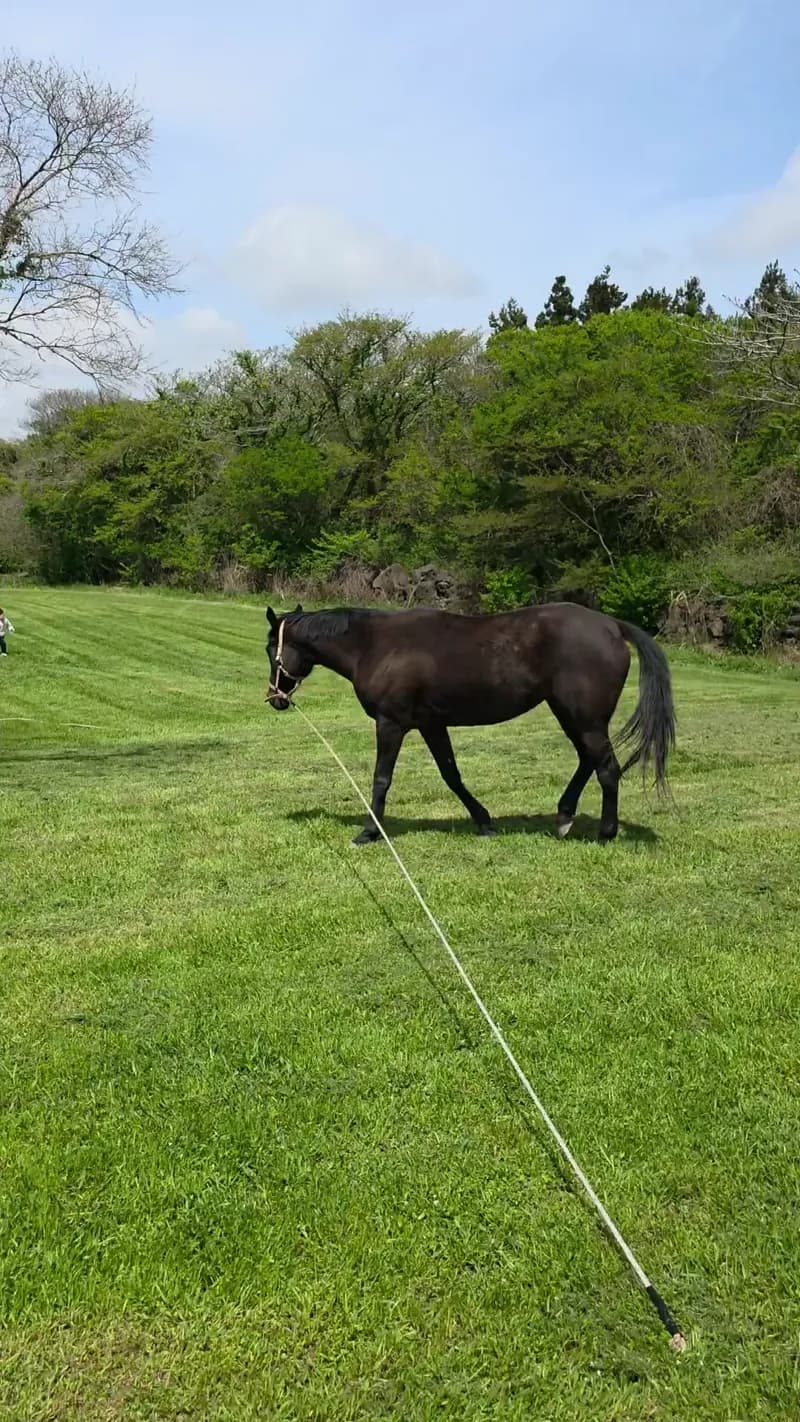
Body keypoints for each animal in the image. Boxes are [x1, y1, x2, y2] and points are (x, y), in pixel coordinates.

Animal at [265, 602, 675, 845]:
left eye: (271, 648)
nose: (275, 697)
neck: (375, 645)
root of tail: (612, 626)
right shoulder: (431, 724)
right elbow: (452, 774)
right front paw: (484, 821)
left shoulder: (391, 723)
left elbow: (382, 778)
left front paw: (369, 831)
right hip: (571, 714)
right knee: (590, 761)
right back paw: (564, 816)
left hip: (585, 718)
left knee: (606, 768)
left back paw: (605, 832)